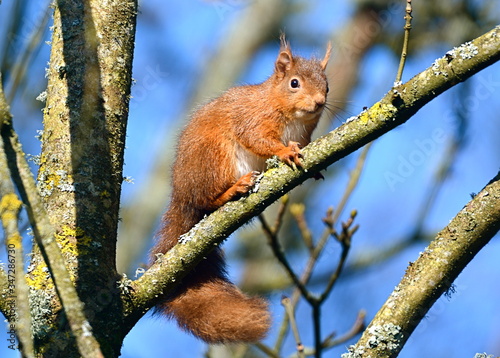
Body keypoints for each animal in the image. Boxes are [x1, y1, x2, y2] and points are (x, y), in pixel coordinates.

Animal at [152, 35, 332, 342]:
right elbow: (258, 139)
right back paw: (233, 190)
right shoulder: (253, 119)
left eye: (327, 85)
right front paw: (285, 152)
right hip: (215, 159)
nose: (319, 102)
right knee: (207, 201)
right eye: (294, 83)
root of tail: (181, 197)